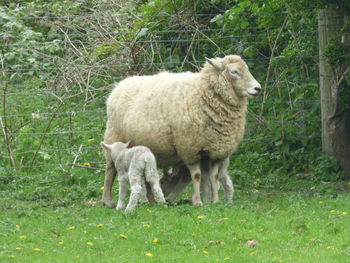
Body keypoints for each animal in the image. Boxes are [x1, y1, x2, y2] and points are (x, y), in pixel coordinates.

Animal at [101, 55, 260, 208]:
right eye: (234, 72)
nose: (257, 88)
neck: (202, 92)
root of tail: (119, 85)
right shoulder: (190, 149)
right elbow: (197, 176)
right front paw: (198, 202)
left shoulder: (216, 152)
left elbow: (213, 178)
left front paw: (214, 201)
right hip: (114, 138)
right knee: (110, 170)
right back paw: (108, 201)